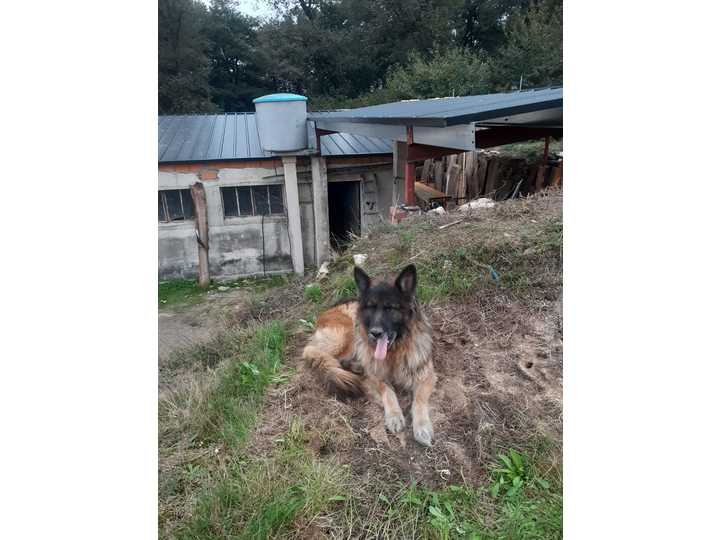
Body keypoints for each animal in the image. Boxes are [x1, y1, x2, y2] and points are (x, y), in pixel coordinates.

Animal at [300, 264, 436, 446]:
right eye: (371, 307)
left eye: (389, 308)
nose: (375, 333)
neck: (395, 351)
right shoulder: (376, 375)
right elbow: (388, 392)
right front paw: (394, 416)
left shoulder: (426, 375)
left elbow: (419, 400)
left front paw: (422, 427)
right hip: (349, 333)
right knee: (316, 352)